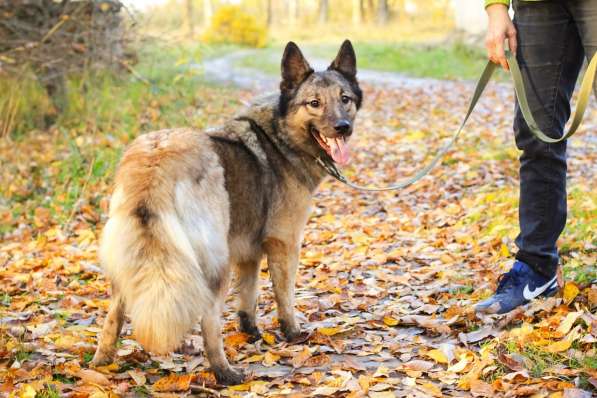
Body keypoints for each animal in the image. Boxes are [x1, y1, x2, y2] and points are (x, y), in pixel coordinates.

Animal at [92, 39, 364, 382]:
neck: (280, 136)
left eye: (345, 99)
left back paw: (101, 363)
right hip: (215, 263)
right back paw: (224, 372)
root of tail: (155, 159)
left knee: (113, 315)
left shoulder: (248, 252)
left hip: (130, 260)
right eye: (314, 103)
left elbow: (248, 295)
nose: (343, 128)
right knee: (209, 319)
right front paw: (292, 332)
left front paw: (251, 331)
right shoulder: (284, 244)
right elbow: (284, 295)